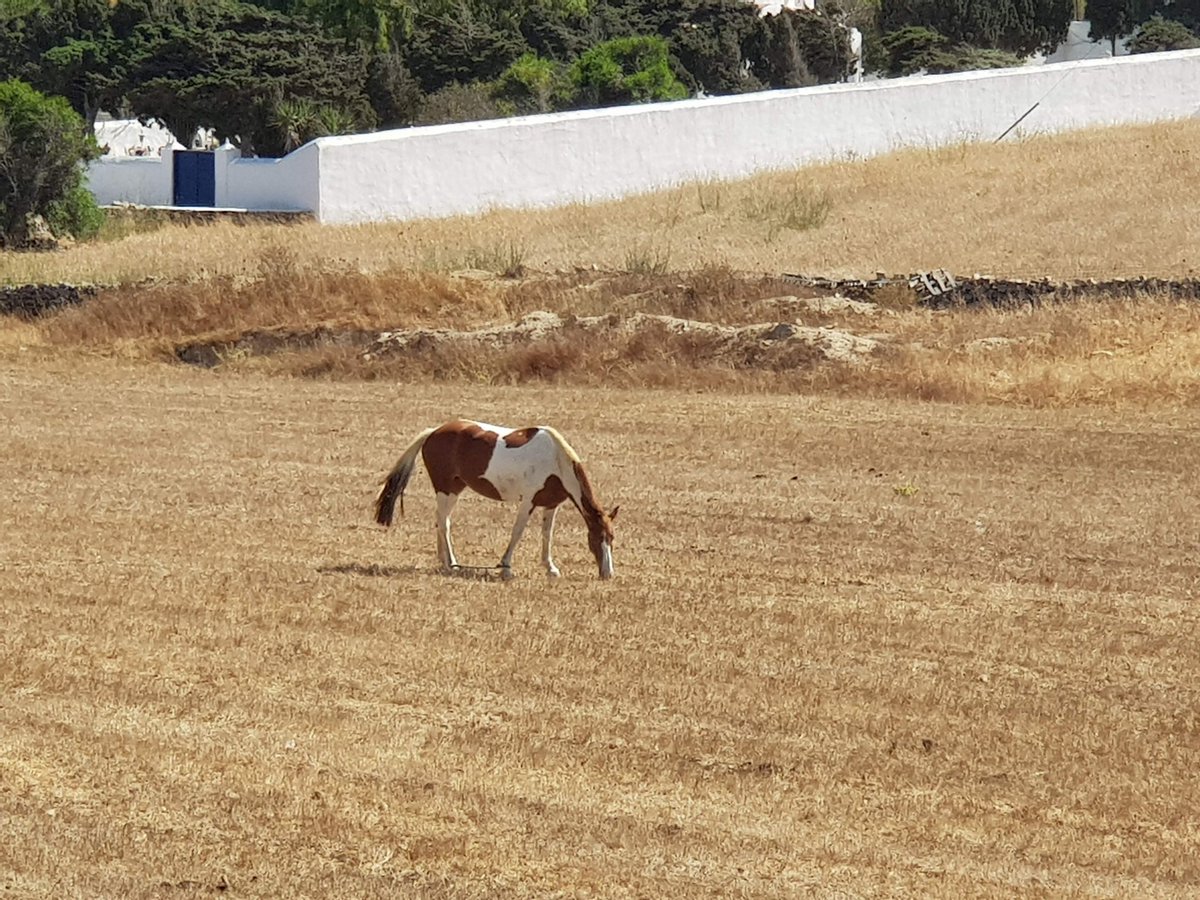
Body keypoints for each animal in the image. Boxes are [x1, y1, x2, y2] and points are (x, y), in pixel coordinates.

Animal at [372, 422, 619, 580]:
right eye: (596, 539)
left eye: (611, 538)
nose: (608, 574)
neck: (555, 460)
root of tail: (434, 432)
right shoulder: (528, 502)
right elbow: (517, 533)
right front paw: (505, 568)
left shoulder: (550, 505)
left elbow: (547, 535)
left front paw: (550, 568)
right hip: (446, 490)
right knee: (444, 523)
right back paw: (452, 564)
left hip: (454, 488)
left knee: (441, 521)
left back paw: (444, 562)